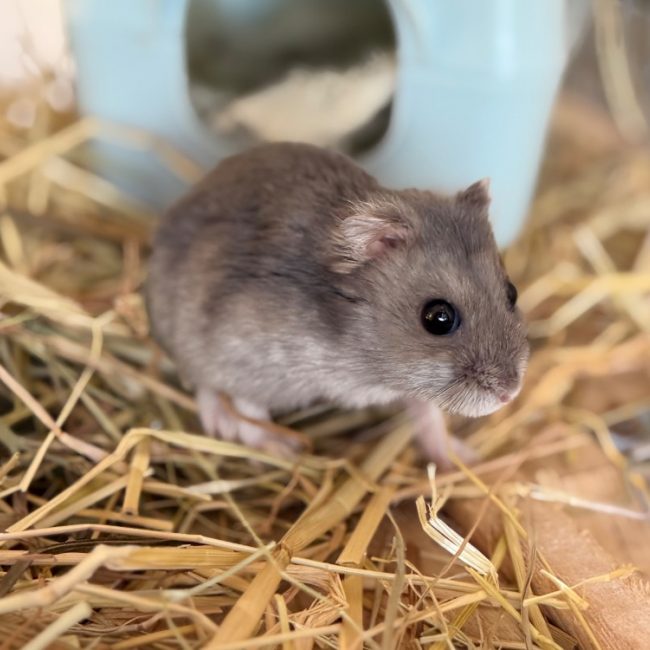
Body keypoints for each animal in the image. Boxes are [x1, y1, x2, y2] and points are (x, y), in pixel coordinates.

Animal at [146, 142, 529, 462]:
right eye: (438, 318)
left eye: (512, 292)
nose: (510, 394)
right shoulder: (240, 350)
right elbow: (248, 407)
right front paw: (283, 450)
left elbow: (427, 413)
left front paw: (463, 459)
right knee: (203, 384)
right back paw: (223, 426)